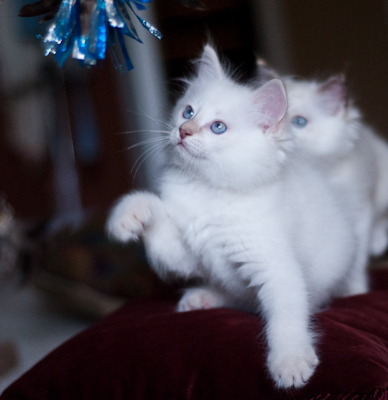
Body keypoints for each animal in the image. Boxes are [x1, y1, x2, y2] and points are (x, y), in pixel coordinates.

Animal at [107, 45, 358, 390]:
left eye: (218, 127)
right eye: (188, 112)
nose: (183, 131)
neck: (209, 191)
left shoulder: (276, 267)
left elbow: (286, 318)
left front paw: (290, 363)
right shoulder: (185, 251)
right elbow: (154, 212)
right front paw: (127, 217)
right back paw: (200, 296)